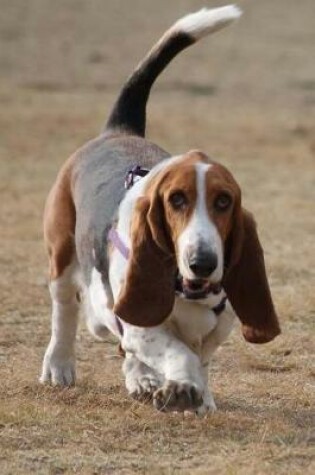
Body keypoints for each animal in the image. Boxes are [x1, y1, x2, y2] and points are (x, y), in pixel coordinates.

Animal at [40, 3, 282, 414]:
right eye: (176, 200)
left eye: (224, 202)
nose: (203, 262)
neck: (188, 289)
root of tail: (119, 129)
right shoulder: (140, 323)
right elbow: (177, 351)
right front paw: (182, 386)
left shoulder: (217, 327)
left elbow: (199, 357)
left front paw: (198, 396)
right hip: (63, 255)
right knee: (67, 311)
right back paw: (60, 366)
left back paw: (141, 377)